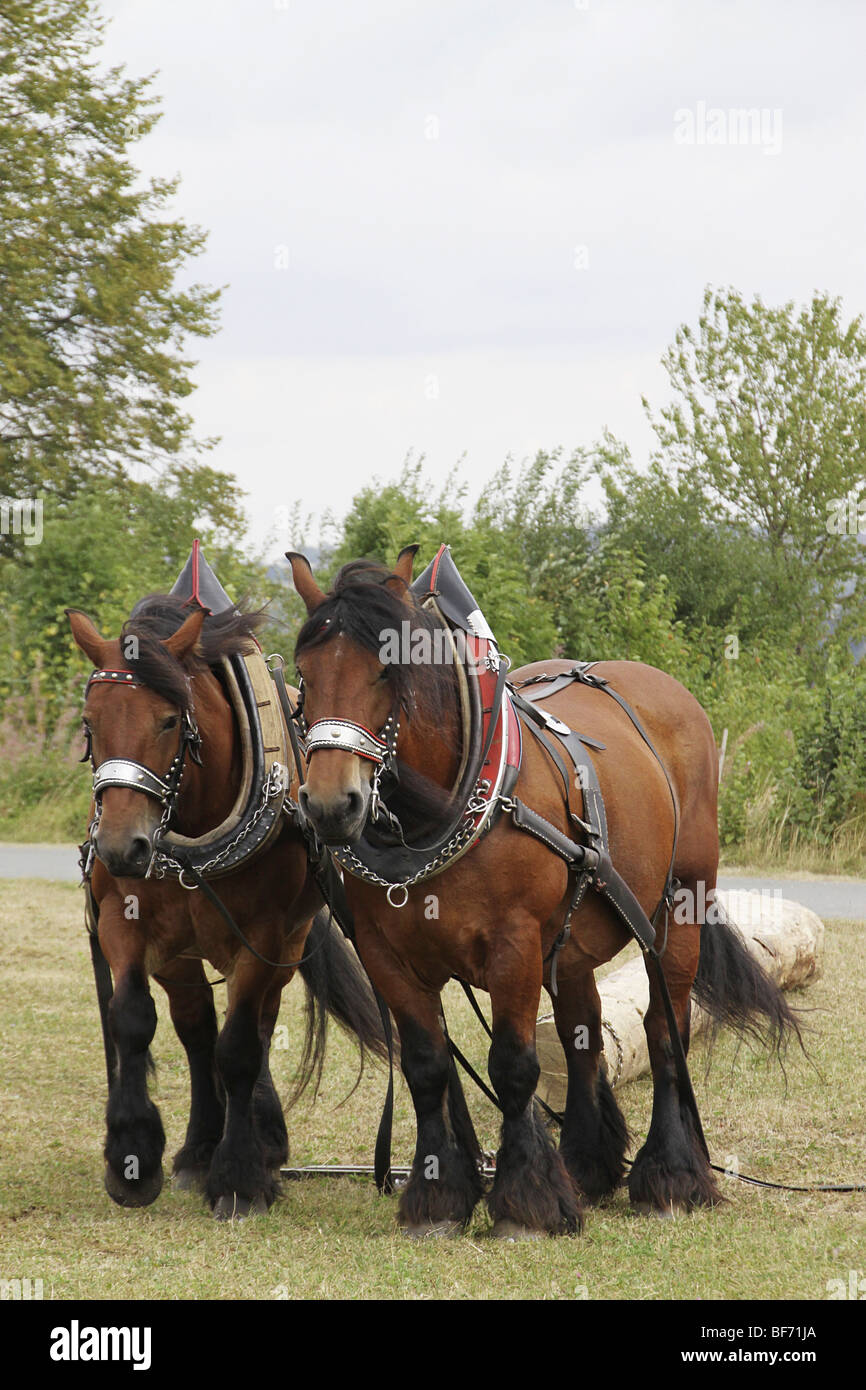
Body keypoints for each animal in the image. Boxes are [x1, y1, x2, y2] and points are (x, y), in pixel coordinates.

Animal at [69, 589, 389, 1217]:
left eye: (169, 720)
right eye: (90, 722)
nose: (120, 847)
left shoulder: (262, 936)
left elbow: (240, 1046)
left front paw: (240, 1177)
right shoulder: (124, 922)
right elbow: (132, 1020)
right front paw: (132, 1157)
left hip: (283, 947)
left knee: (256, 1027)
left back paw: (260, 1143)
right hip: (180, 955)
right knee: (196, 1032)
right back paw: (198, 1150)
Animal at [287, 550, 800, 1239]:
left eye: (388, 672)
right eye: (304, 675)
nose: (329, 804)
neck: (436, 817)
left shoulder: (515, 944)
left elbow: (513, 1065)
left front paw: (526, 1201)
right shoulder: (384, 954)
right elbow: (427, 1065)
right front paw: (438, 1196)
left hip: (679, 906)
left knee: (665, 1029)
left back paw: (670, 1176)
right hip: (575, 938)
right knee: (584, 1031)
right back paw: (586, 1164)